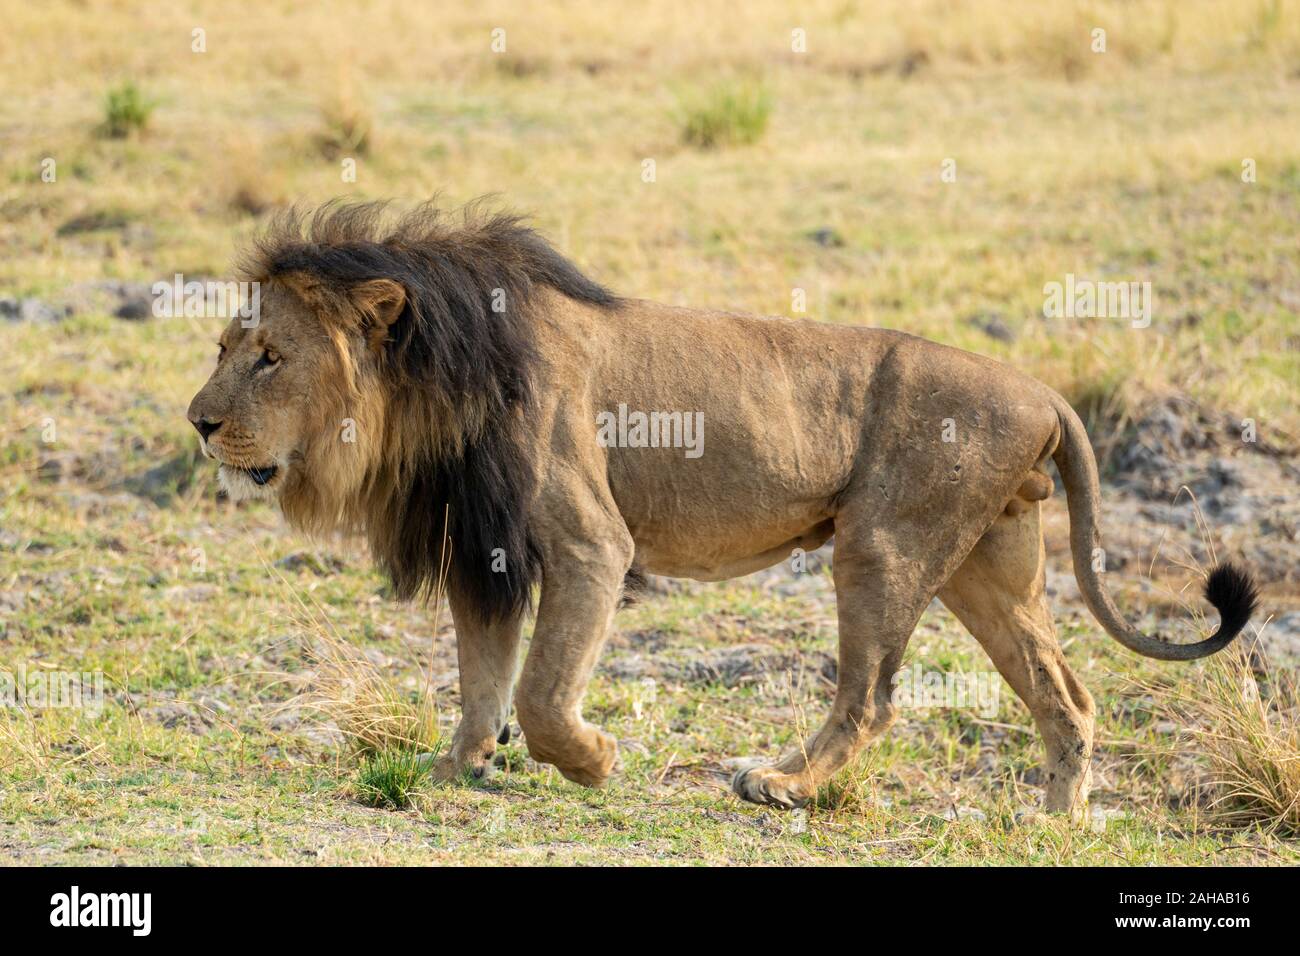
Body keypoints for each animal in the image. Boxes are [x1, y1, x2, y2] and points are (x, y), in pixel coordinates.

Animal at [187, 200, 1258, 815]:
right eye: (222, 348)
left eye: (270, 357)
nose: (199, 423)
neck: (429, 381)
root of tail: (1045, 393)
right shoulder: (481, 551)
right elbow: (482, 679)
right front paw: (455, 771)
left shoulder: (589, 543)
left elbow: (541, 693)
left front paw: (594, 761)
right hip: (985, 571)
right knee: (1065, 694)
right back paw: (1056, 822)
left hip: (881, 546)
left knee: (872, 697)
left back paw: (778, 783)